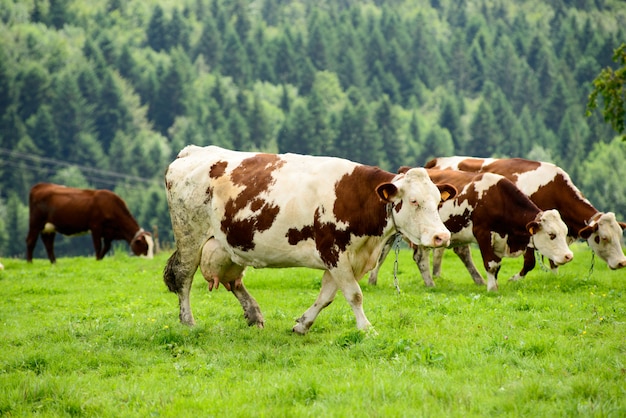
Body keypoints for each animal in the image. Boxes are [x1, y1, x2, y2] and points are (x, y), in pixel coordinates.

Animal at [26, 182, 154, 262]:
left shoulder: (108, 233)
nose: (150, 260)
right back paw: (29, 262)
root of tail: (40, 185)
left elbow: (106, 248)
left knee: (48, 244)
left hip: (50, 227)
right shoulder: (96, 227)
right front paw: (97, 260)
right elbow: (98, 246)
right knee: (31, 241)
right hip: (35, 222)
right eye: (144, 245)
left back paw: (54, 262)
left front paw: (100, 259)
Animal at [161, 145, 454, 334]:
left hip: (231, 243)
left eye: (438, 200)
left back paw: (254, 315)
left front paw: (302, 324)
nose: (442, 236)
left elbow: (326, 296)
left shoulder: (345, 259)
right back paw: (188, 322)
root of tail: (192, 151)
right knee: (183, 278)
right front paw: (366, 328)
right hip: (190, 236)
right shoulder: (334, 252)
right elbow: (354, 295)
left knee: (234, 281)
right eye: (414, 201)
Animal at [368, 168, 572, 292]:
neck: (497, 197)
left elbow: (497, 266)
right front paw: (492, 289)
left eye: (565, 232)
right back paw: (373, 280)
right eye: (552, 235)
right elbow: (491, 264)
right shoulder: (483, 233)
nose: (569, 256)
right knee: (385, 253)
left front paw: (493, 284)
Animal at [424, 156, 624, 278]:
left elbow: (553, 260)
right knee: (441, 249)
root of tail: (438, 161)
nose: (622, 262)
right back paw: (437, 275)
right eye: (603, 238)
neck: (553, 188)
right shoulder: (530, 232)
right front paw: (513, 279)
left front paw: (555, 279)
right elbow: (530, 262)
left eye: (619, 236)